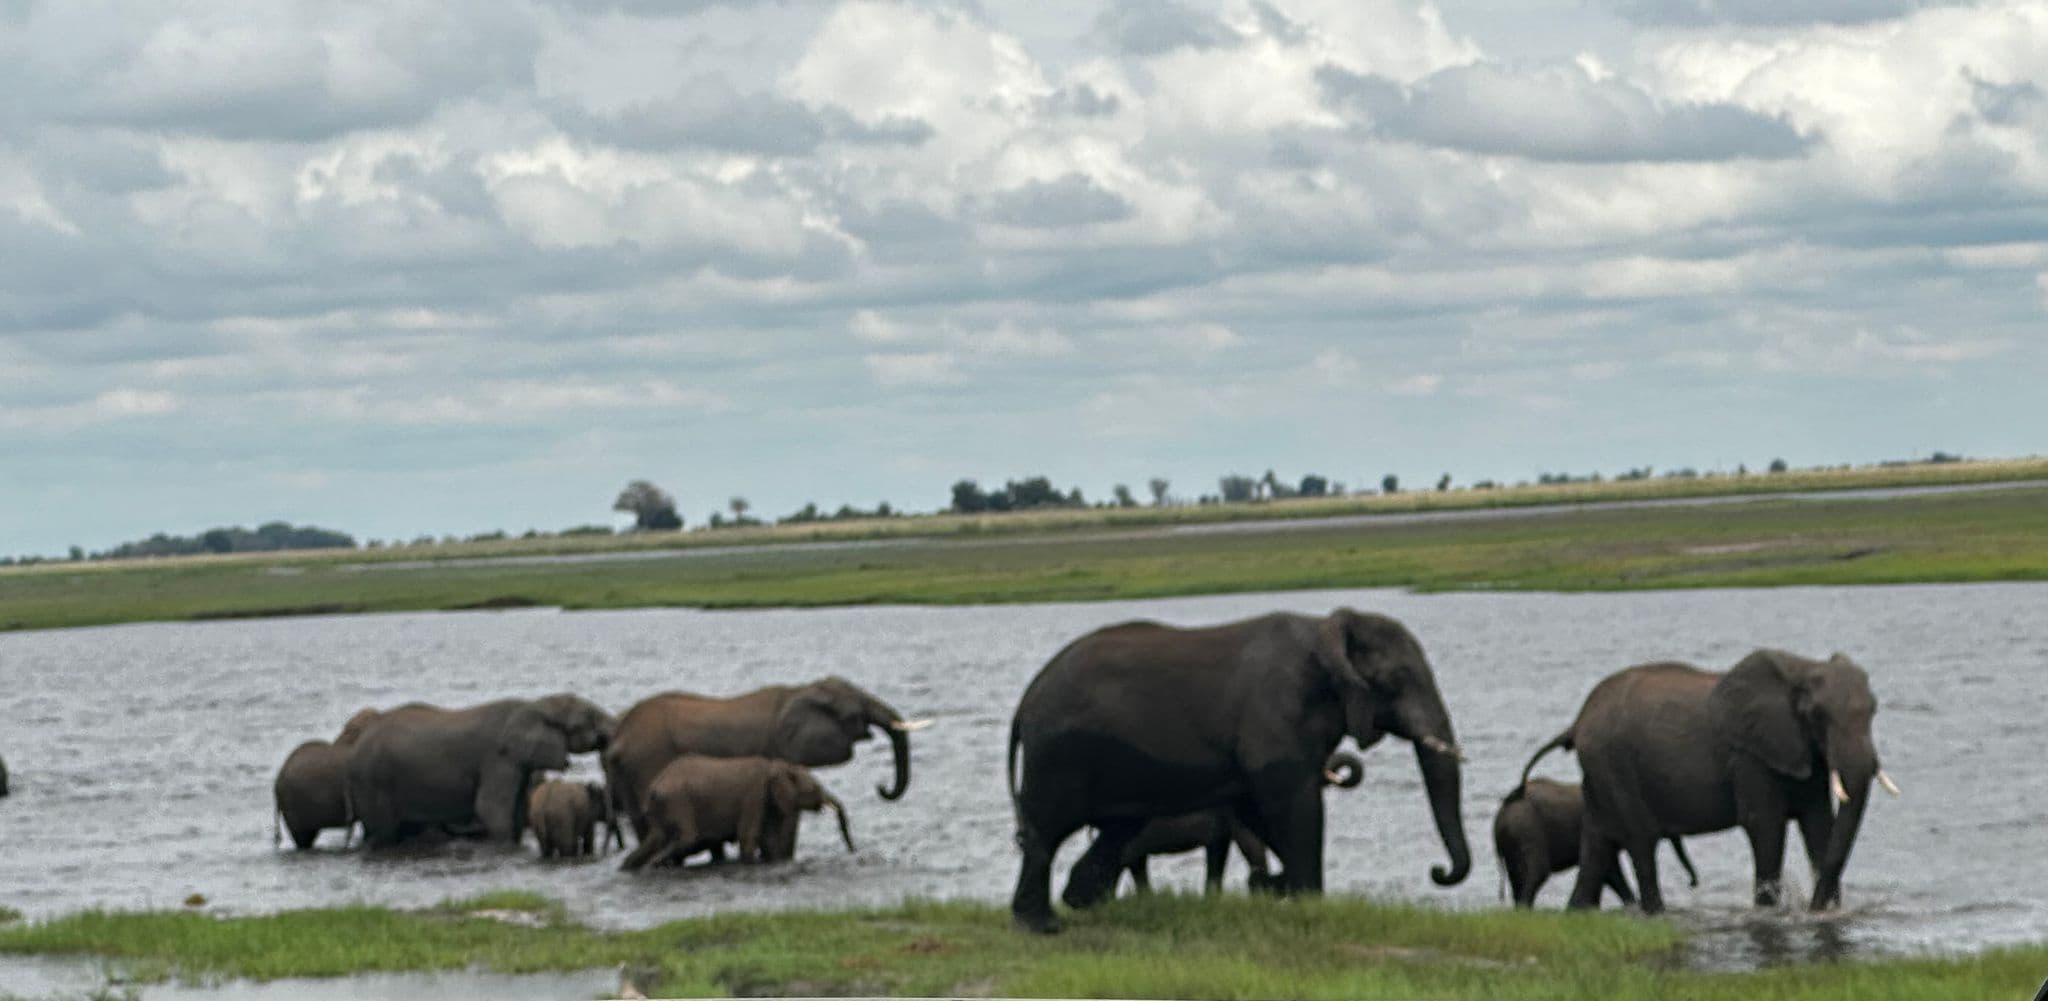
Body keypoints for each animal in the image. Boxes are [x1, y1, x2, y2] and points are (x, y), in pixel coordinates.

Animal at [345, 694, 616, 848]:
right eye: (588, 719)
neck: (535, 705)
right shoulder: (499, 759)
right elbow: (490, 808)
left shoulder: (518, 764)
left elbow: (518, 811)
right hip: (373, 783)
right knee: (383, 832)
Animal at [603, 677, 927, 842]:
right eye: (854, 715)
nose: (882, 788)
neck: (797, 692)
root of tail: (619, 736)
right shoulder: (780, 752)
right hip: (648, 760)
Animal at [618, 755, 854, 871]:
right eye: (814, 788)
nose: (853, 851)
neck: (775, 766)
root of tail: (654, 786)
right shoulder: (754, 795)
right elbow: (749, 836)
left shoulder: (766, 800)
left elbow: (768, 840)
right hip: (678, 802)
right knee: (686, 838)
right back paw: (655, 864)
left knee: (656, 839)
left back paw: (632, 867)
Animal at [1493, 778, 1698, 908]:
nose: (1692, 884)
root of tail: (1502, 814)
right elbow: (1611, 871)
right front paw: (1632, 905)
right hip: (1529, 831)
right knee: (1537, 872)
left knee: (1516, 877)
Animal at [1520, 650, 1898, 914]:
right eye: (1818, 716)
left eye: (1874, 710)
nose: (1812, 908)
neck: (1801, 667)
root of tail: (1577, 722)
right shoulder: (1749, 755)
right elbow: (1765, 826)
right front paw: (1770, 912)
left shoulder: (1803, 752)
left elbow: (1819, 824)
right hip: (1614, 765)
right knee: (1641, 840)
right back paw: (1656, 913)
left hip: (1599, 772)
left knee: (1597, 844)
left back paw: (1577, 912)